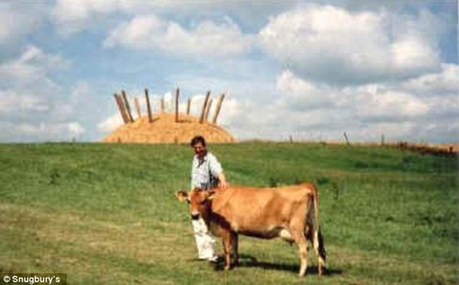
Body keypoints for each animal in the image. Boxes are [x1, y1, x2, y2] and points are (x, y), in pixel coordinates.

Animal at [176, 182, 328, 276]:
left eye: (203, 201)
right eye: (189, 201)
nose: (194, 215)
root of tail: (305, 185)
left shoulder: (225, 230)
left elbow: (227, 249)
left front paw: (227, 267)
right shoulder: (234, 231)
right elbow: (235, 248)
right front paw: (236, 264)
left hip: (297, 229)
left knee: (304, 248)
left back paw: (301, 273)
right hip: (312, 227)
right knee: (317, 246)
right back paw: (320, 272)